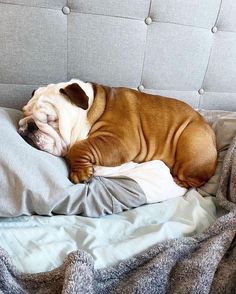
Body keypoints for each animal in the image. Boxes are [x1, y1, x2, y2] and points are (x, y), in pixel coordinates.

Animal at [18, 79, 218, 187]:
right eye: (24, 113)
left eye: (51, 119)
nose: (30, 125)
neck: (90, 109)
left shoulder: (119, 141)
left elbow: (79, 147)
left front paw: (80, 173)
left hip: (191, 145)